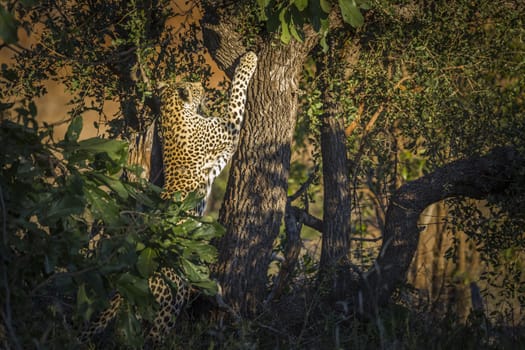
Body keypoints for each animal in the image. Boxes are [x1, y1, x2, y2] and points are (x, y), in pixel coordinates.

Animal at [79, 51, 256, 348]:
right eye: (194, 86)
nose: (202, 85)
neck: (172, 112)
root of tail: (129, 277)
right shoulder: (228, 127)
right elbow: (237, 92)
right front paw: (249, 60)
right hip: (171, 297)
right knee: (153, 335)